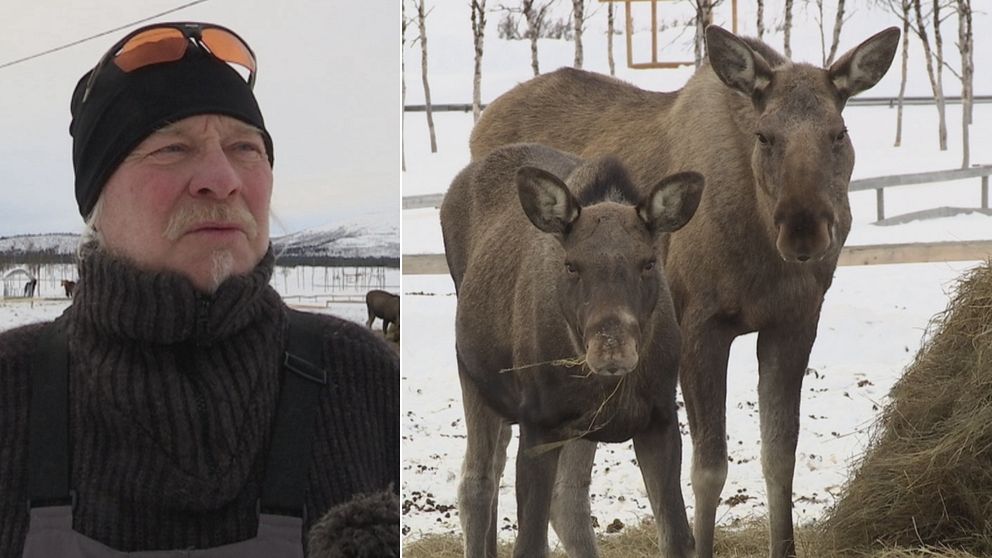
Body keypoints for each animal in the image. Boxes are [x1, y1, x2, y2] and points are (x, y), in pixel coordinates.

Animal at [442, 144, 704, 558]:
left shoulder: (659, 419)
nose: (611, 348)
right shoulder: (539, 423)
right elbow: (529, 544)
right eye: (571, 265)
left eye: (648, 262)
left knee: (565, 500)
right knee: (477, 483)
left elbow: (679, 538)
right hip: (474, 377)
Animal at [468, 24, 904, 556]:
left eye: (838, 132)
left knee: (565, 492)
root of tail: (482, 123)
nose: (804, 230)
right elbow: (708, 469)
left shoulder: (795, 322)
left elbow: (780, 456)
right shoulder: (701, 325)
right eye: (765, 135)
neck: (761, 244)